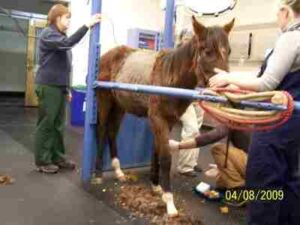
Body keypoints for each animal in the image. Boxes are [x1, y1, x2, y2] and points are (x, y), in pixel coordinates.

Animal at [95, 16, 233, 217]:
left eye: (228, 50)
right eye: (207, 51)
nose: (226, 88)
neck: (170, 78)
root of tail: (106, 55)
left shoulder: (168, 122)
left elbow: (157, 150)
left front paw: (156, 186)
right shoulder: (158, 119)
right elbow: (166, 157)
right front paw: (169, 201)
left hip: (119, 106)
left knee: (112, 133)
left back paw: (119, 171)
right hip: (105, 101)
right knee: (101, 131)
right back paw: (98, 174)